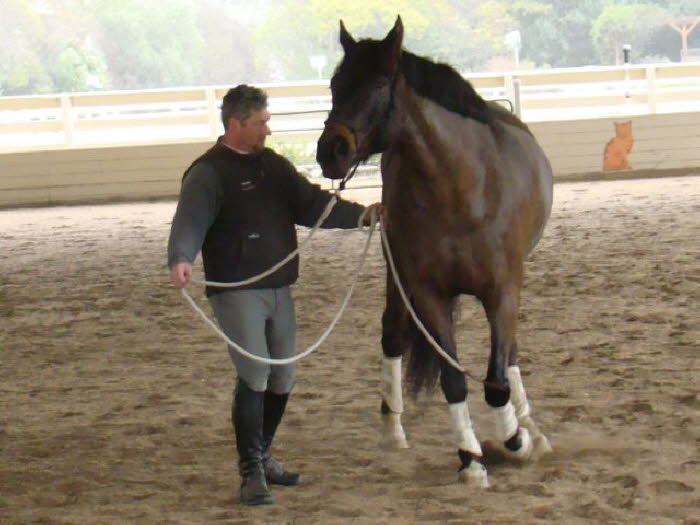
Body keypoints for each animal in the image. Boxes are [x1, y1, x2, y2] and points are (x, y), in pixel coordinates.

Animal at [316, 15, 552, 488]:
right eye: (335, 83)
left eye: (379, 84)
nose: (331, 150)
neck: (462, 189)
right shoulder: (427, 293)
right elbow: (454, 380)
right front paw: (472, 458)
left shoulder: (503, 291)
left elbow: (497, 378)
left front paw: (516, 440)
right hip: (396, 277)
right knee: (392, 335)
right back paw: (392, 430)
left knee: (511, 355)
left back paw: (528, 424)